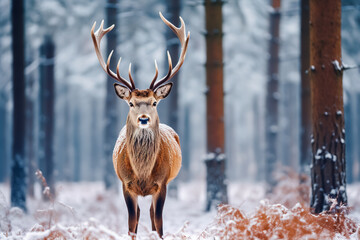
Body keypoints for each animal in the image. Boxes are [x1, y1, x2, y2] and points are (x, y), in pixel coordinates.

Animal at [91, 12, 190, 237]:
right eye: (131, 103)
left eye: (154, 102)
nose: (143, 118)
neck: (143, 174)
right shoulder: (125, 184)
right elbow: (131, 224)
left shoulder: (162, 183)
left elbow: (159, 223)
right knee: (139, 214)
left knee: (152, 214)